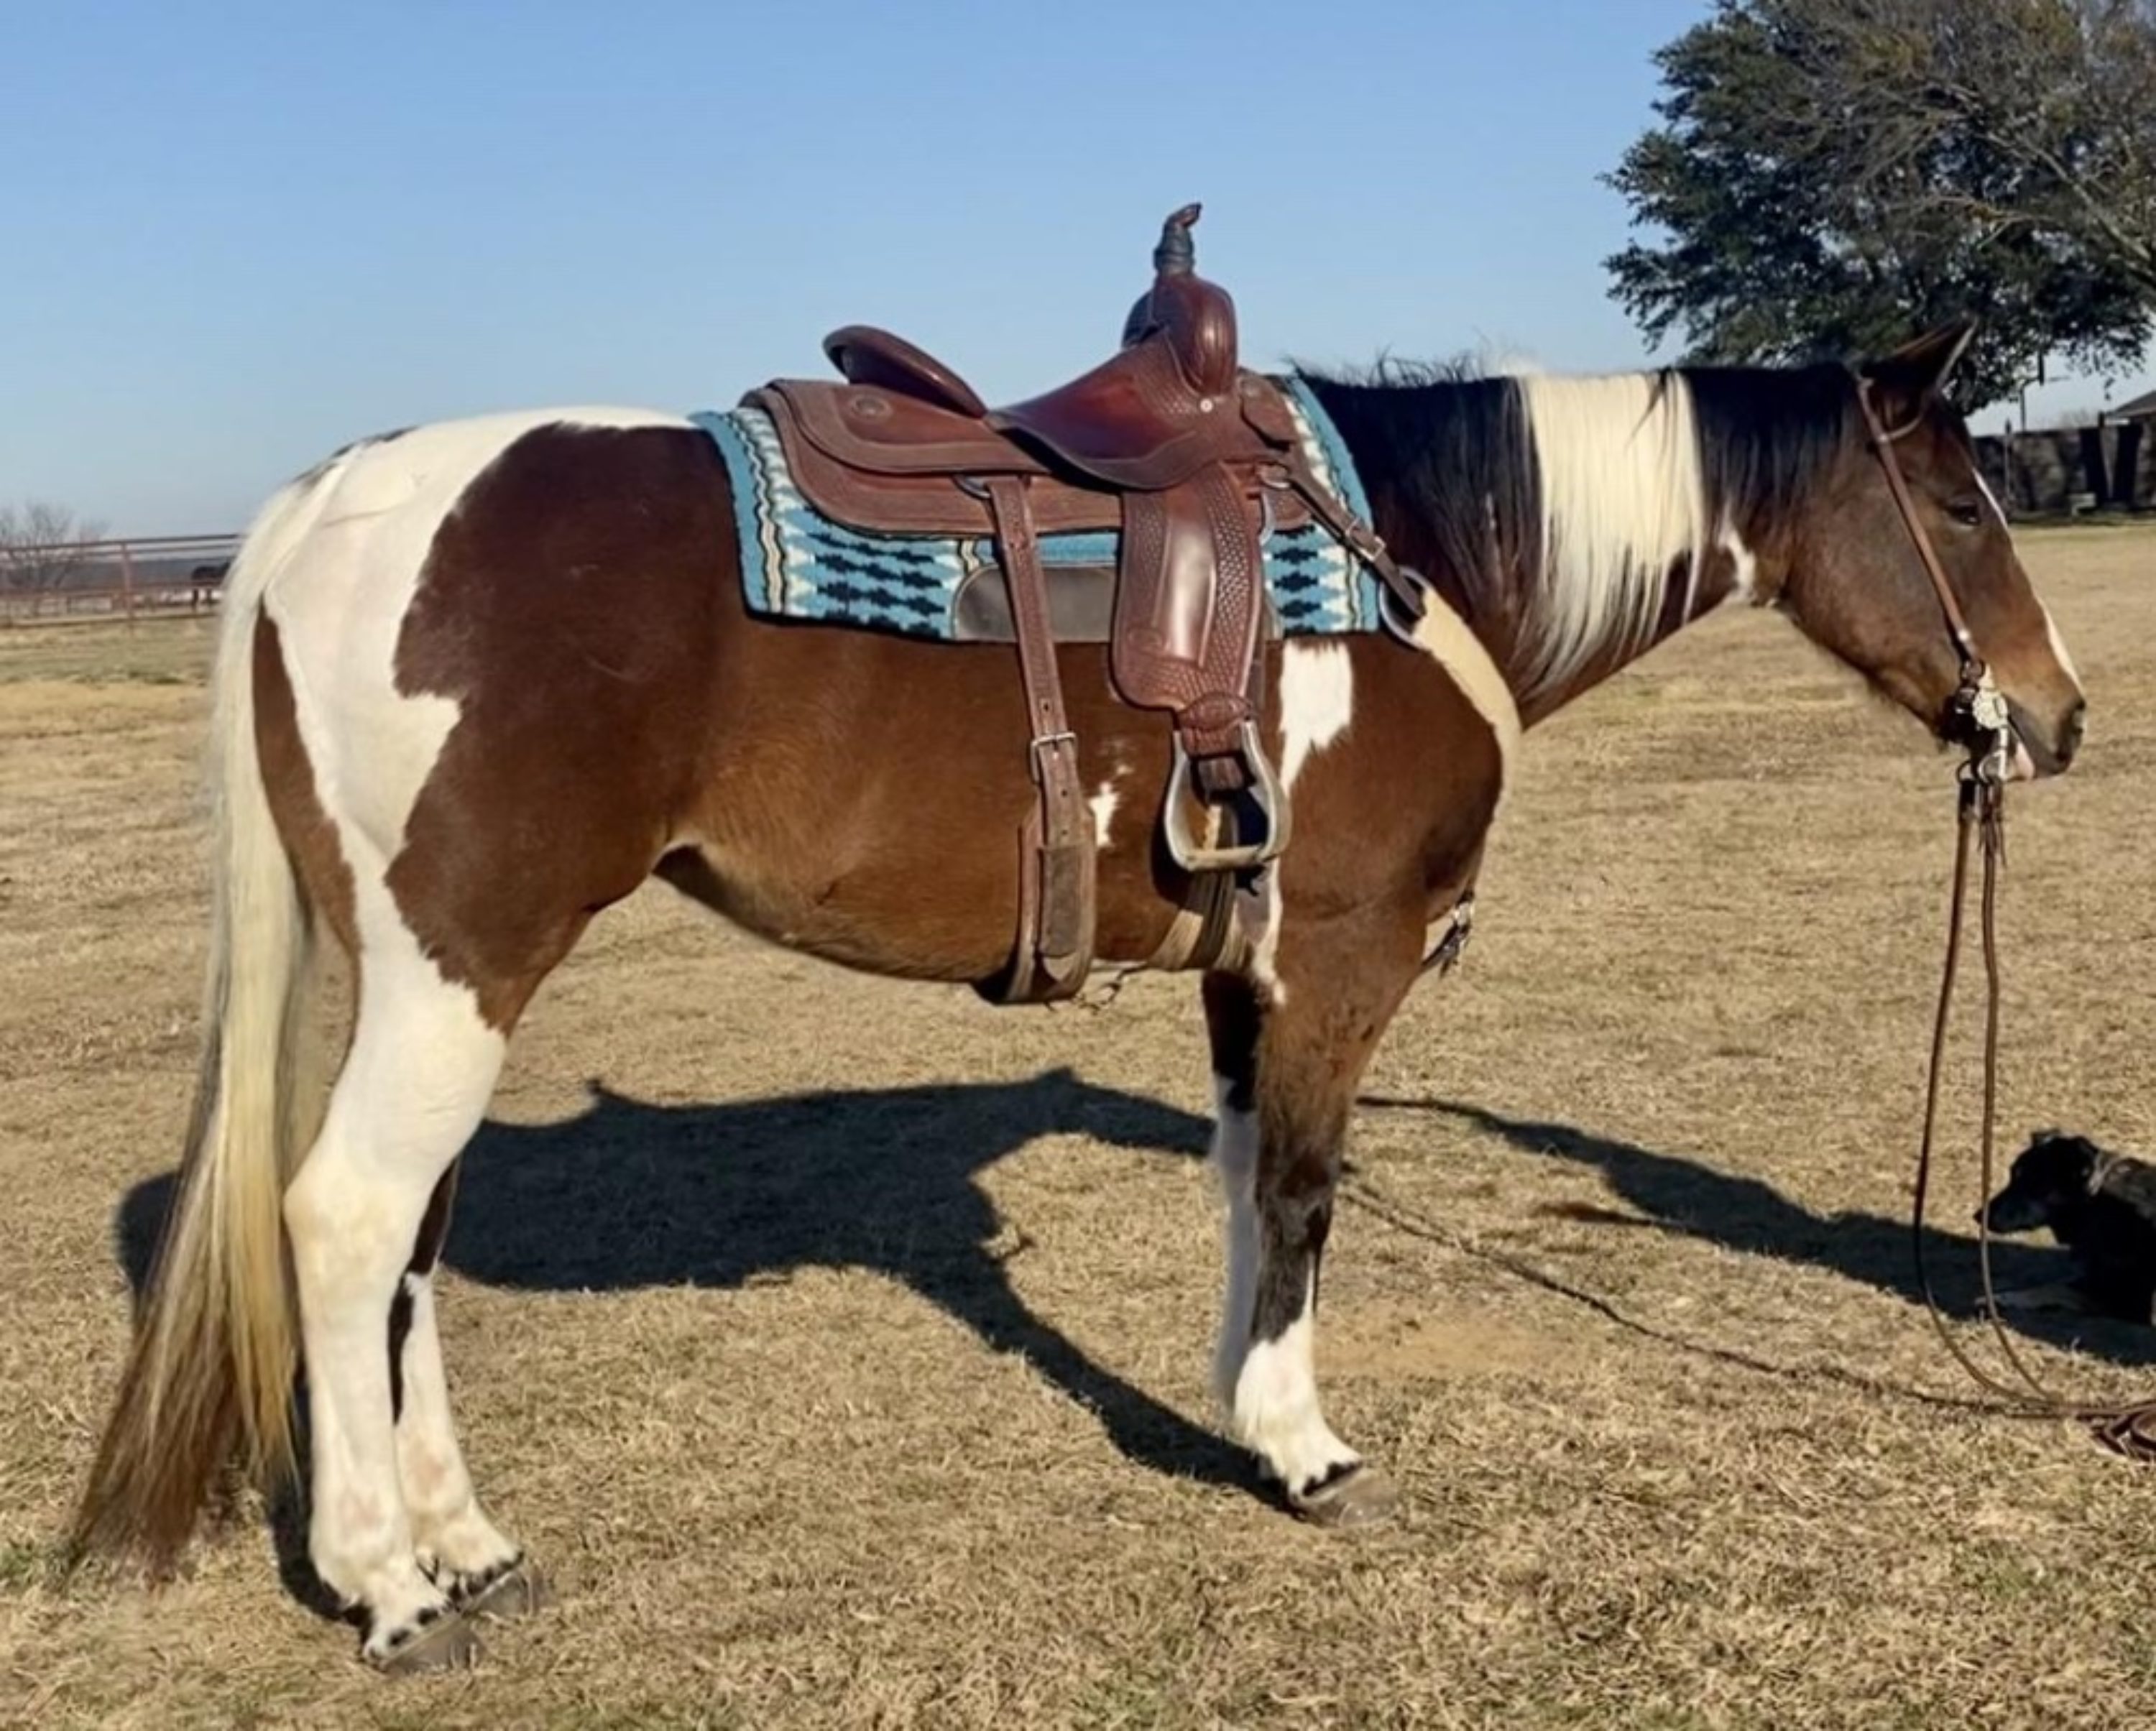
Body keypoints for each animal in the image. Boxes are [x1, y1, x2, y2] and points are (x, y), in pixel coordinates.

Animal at [75, 267, 2078, 1664]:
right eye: (1965, 505)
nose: (2054, 719)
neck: (1408, 559)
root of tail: (323, 503)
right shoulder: (1342, 951)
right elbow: (1304, 1188)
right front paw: (1303, 1449)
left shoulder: (1241, 967)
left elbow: (1240, 1178)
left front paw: (1240, 1411)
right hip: (455, 968)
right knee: (346, 1220)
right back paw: (387, 1583)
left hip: (439, 983)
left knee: (410, 1236)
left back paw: (466, 1543)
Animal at [1975, 1138, 2156, 1328]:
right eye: (2013, 1176)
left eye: (2031, 1182)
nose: (1978, 1216)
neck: (2095, 1201)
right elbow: (2056, 1283)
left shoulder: (2124, 1299)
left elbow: (2052, 1288)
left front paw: (2001, 1300)